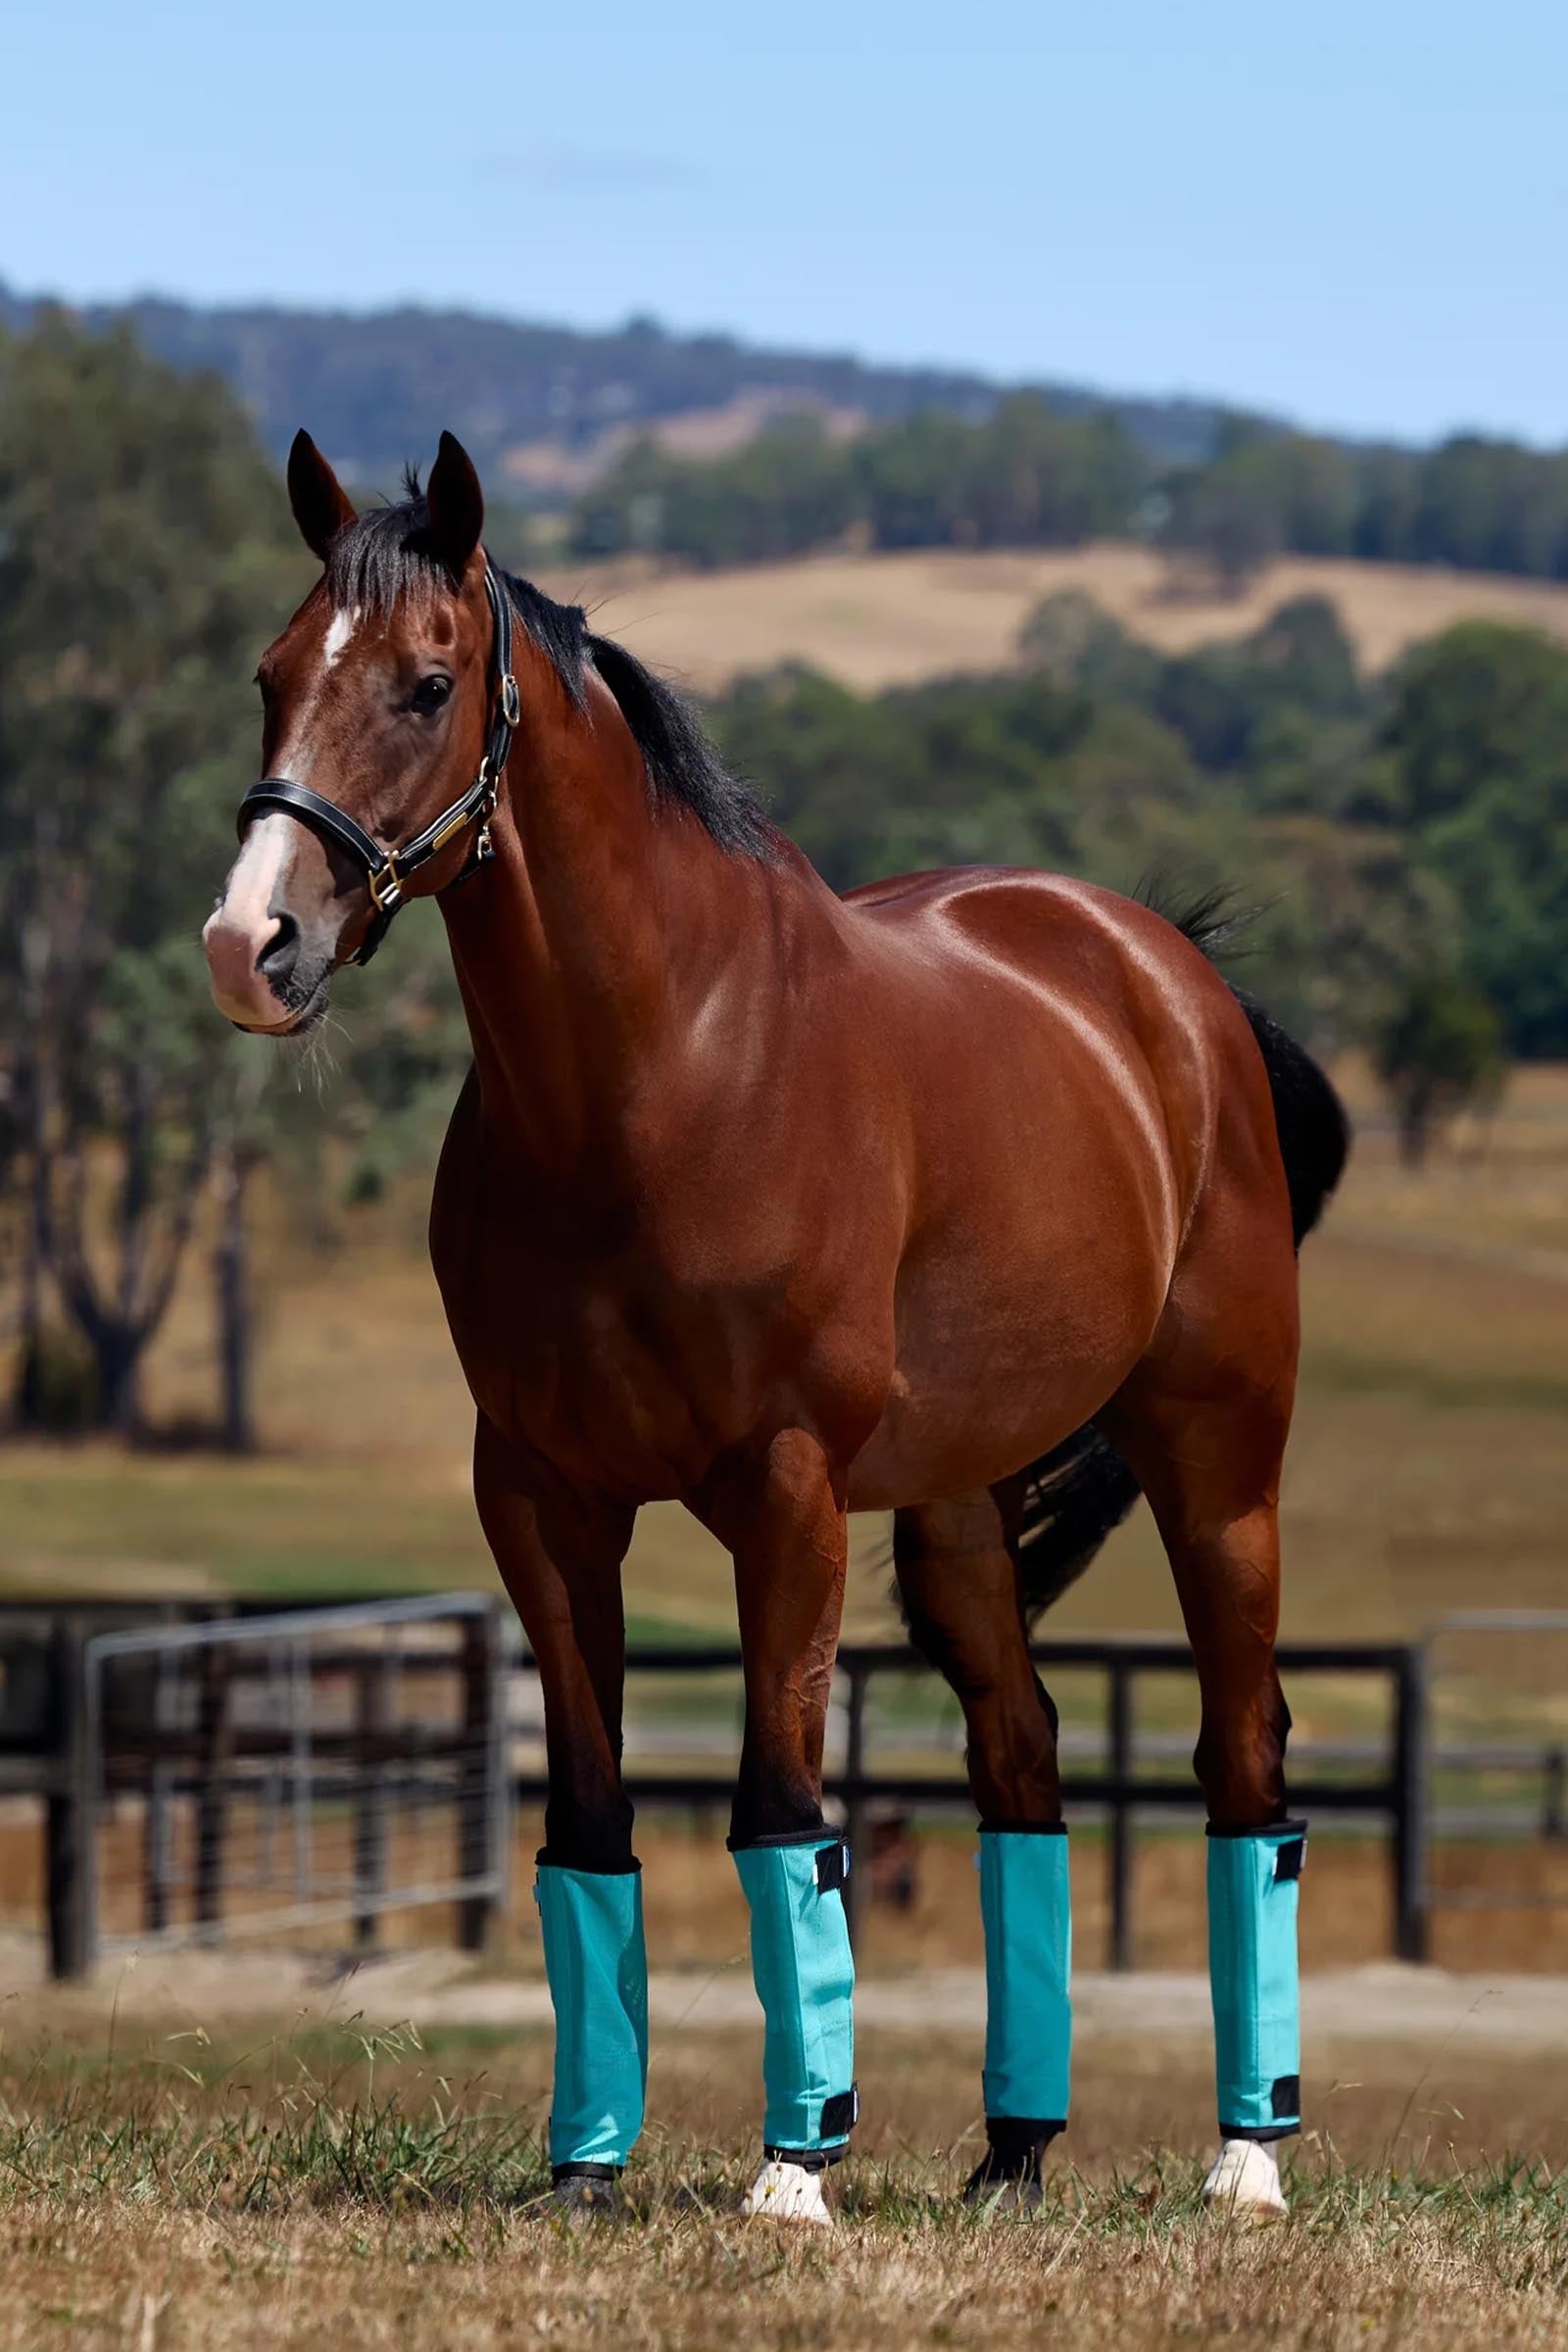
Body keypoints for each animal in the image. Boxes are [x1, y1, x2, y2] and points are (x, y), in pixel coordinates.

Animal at [204, 429, 1348, 2226]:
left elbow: (782, 1807)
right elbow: (588, 1818)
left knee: (1246, 1757)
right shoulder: (542, 1501)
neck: (662, 1075)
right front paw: (582, 2171)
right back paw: (1012, 2156)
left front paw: (792, 2174)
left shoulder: (787, 1495)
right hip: (957, 1509)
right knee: (1022, 1764)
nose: (252, 946)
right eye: (269, 675)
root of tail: (1176, 982)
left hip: (1217, 1464)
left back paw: (1247, 2159)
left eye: (426, 683)